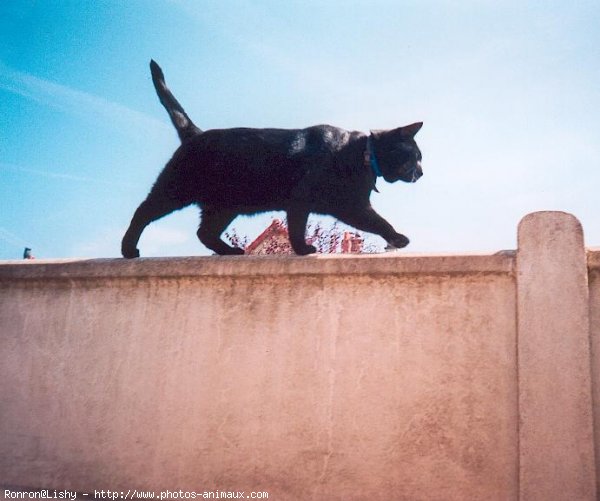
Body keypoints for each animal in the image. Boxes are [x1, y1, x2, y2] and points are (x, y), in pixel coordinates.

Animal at [120, 60, 422, 258]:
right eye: (417, 156)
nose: (422, 172)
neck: (359, 154)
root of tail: (195, 132)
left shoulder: (350, 206)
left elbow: (375, 222)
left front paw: (396, 239)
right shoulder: (309, 200)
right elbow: (301, 227)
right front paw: (303, 250)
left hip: (224, 206)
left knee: (204, 233)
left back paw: (230, 251)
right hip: (175, 190)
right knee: (143, 211)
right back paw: (128, 249)